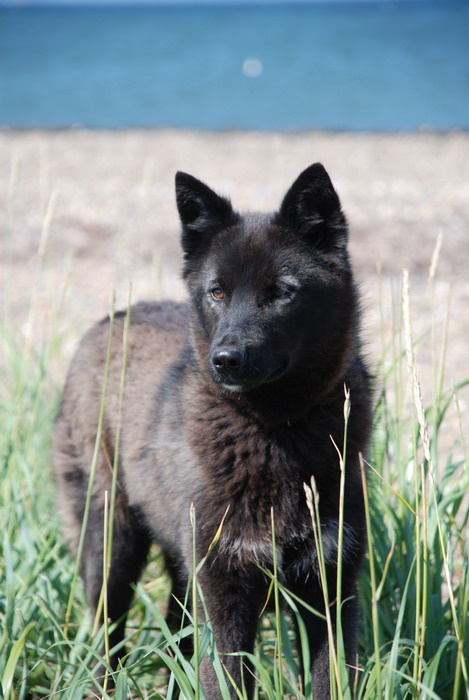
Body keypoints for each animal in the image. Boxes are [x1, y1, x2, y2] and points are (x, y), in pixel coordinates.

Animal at [53, 163, 372, 698]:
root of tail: (107, 321)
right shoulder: (224, 600)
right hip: (110, 549)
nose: (226, 359)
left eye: (281, 291)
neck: (275, 431)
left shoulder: (329, 594)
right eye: (217, 291)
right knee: (104, 637)